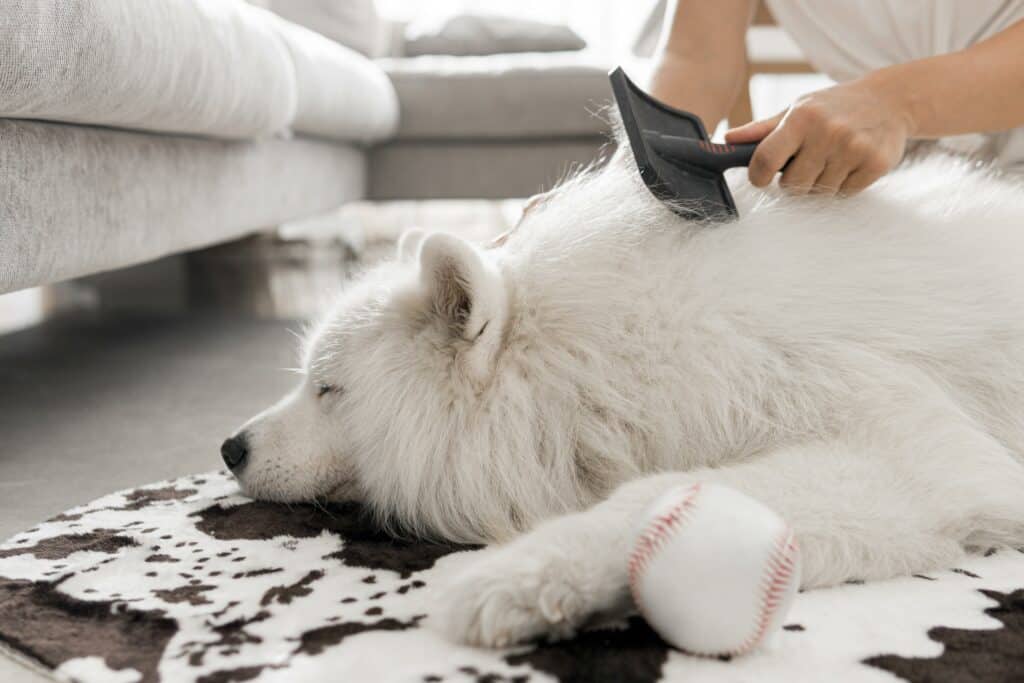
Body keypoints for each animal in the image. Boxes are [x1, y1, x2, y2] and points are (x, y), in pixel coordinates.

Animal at [222, 147, 1024, 651]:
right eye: (307, 379)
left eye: (329, 388)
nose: (229, 447)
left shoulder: (910, 453)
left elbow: (657, 497)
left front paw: (514, 579)